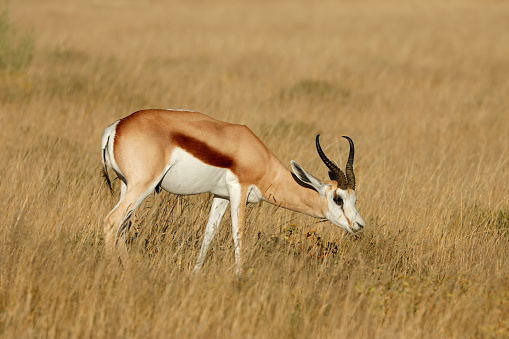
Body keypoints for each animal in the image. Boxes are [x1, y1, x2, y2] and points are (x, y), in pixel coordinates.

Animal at [101, 110, 364, 274]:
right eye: (338, 199)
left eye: (354, 198)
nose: (359, 225)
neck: (261, 161)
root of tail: (115, 128)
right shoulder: (240, 190)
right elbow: (239, 233)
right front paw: (239, 276)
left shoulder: (221, 196)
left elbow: (209, 233)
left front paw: (195, 274)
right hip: (142, 186)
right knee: (111, 221)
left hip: (126, 185)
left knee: (122, 226)